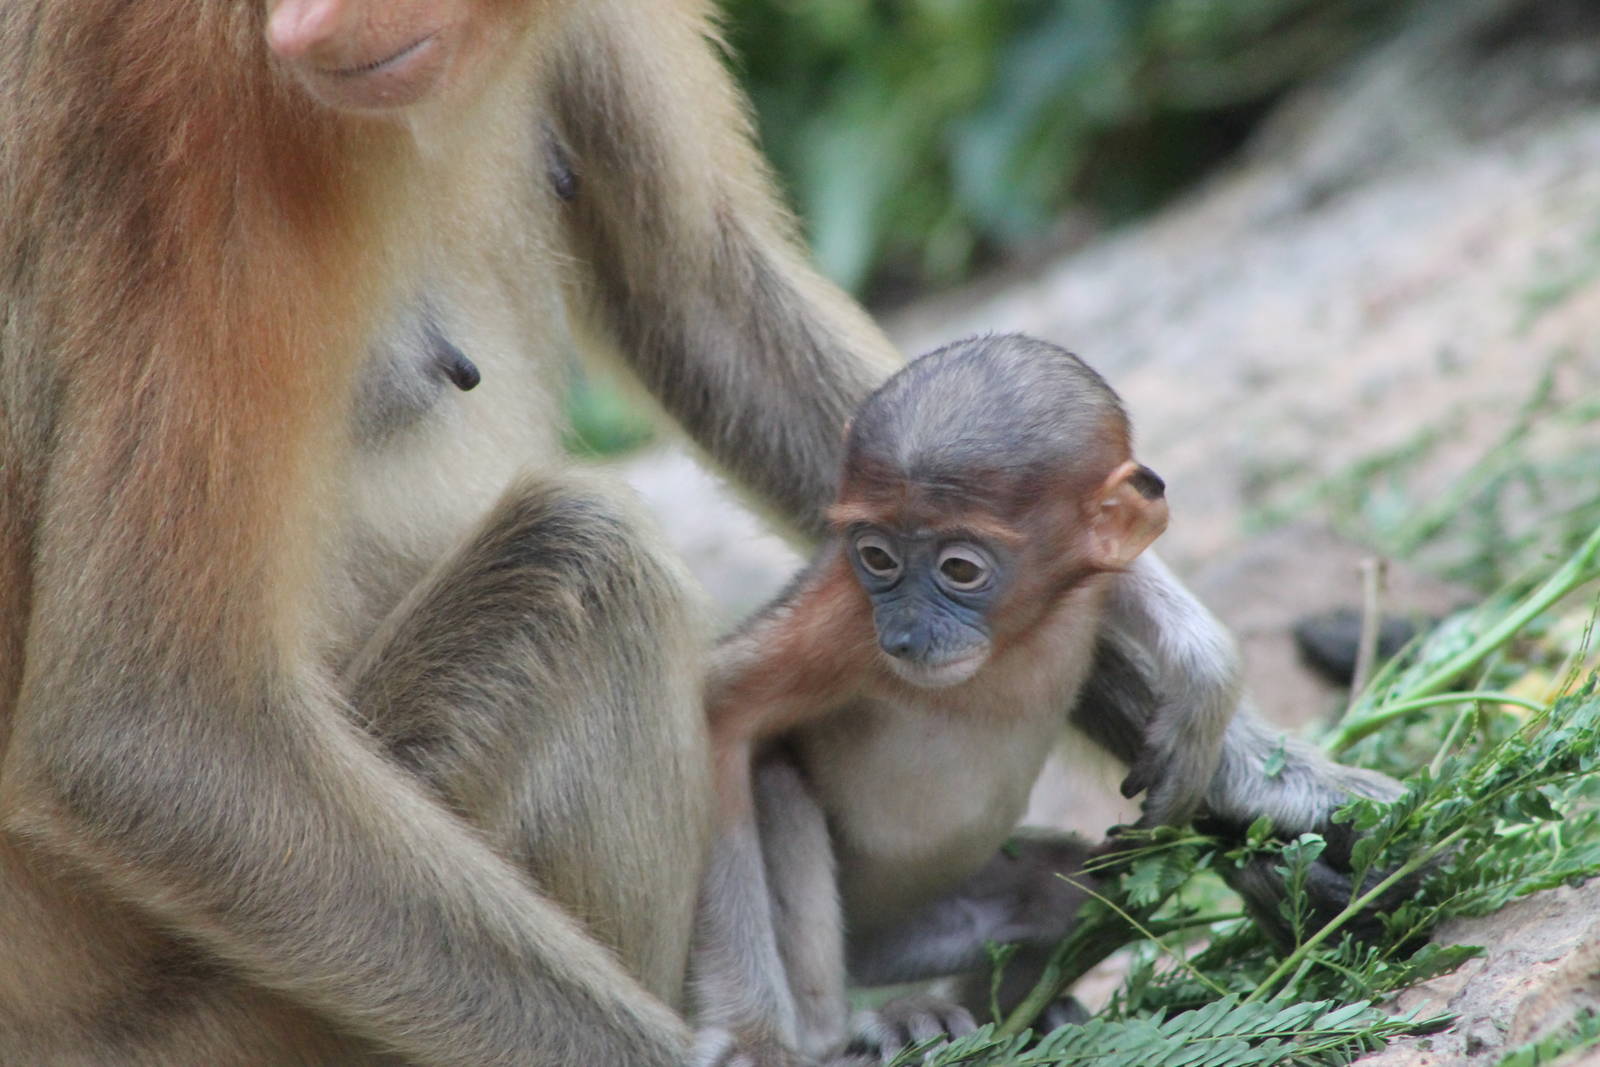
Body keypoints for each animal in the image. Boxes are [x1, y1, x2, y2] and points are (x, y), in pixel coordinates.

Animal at [693, 335, 1404, 1063]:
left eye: (960, 568)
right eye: (877, 557)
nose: (906, 632)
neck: (1014, 640)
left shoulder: (1080, 576)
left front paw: (1206, 697)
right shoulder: (842, 621)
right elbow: (721, 714)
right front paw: (751, 1037)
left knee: (1068, 891)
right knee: (774, 778)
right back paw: (849, 1029)